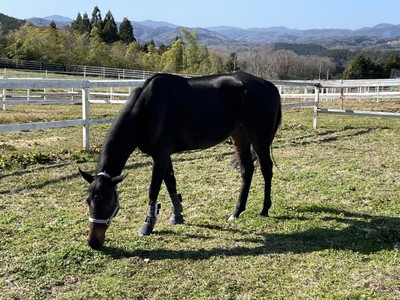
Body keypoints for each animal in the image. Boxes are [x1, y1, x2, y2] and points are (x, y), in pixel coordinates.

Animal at [79, 71, 282, 250]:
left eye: (108, 201)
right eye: (88, 201)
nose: (93, 242)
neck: (147, 107)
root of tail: (268, 85)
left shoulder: (160, 154)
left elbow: (154, 188)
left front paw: (148, 225)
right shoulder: (164, 155)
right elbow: (170, 183)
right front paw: (177, 215)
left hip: (259, 140)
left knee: (267, 169)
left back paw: (264, 210)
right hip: (240, 137)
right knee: (247, 170)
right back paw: (237, 212)